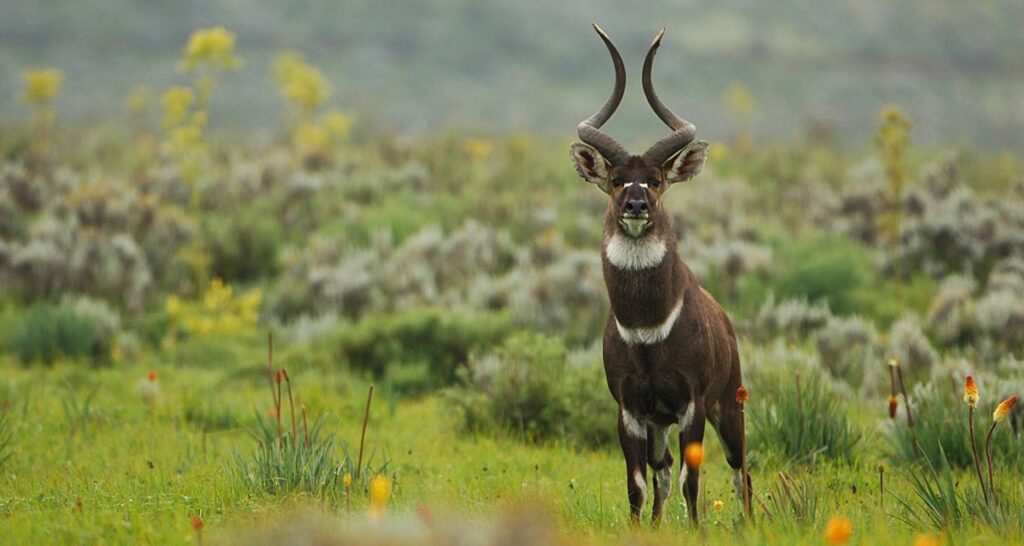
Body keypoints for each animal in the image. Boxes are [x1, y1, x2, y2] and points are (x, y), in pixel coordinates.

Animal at [573, 25, 749, 524]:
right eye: (616, 180)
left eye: (655, 180)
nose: (636, 206)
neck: (647, 325)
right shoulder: (631, 409)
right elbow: (637, 483)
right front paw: (641, 528)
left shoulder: (692, 404)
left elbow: (694, 480)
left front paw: (697, 530)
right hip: (660, 424)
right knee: (662, 470)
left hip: (730, 406)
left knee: (739, 470)